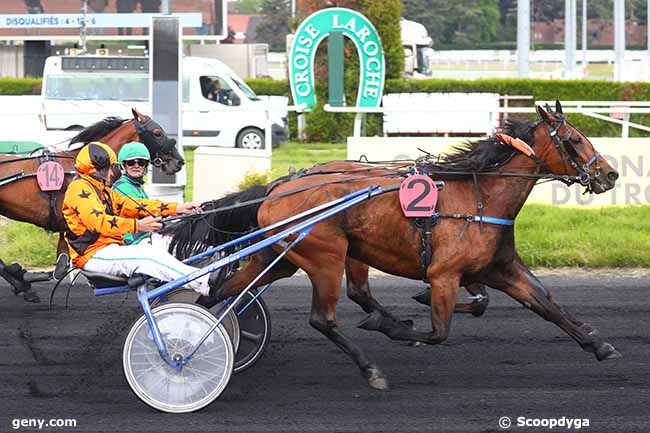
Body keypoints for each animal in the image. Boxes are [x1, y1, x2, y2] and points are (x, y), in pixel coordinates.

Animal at [100, 101, 616, 412]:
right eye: (573, 140)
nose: (609, 174)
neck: (477, 196)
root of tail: (279, 186)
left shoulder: (501, 267)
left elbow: (546, 304)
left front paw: (598, 344)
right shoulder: (445, 273)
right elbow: (439, 330)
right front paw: (402, 324)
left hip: (287, 257)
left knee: (224, 293)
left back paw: (199, 339)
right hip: (326, 255)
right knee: (323, 318)